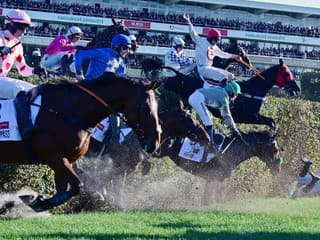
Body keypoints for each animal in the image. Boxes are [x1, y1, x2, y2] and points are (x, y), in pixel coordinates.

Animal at [2, 72, 161, 212]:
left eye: (157, 106)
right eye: (146, 107)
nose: (155, 141)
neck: (68, 111)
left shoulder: (65, 160)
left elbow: (65, 189)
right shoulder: (55, 158)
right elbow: (78, 185)